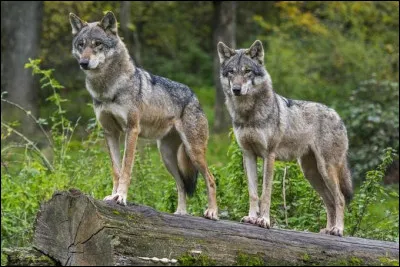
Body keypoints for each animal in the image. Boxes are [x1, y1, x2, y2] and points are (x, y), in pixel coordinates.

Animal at [69, 11, 219, 221]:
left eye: (97, 43)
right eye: (81, 44)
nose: (84, 63)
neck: (108, 88)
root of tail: (194, 95)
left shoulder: (131, 130)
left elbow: (126, 168)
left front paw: (121, 197)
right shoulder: (110, 132)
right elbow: (116, 170)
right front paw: (112, 195)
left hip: (193, 152)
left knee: (210, 179)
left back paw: (212, 212)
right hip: (166, 157)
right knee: (181, 184)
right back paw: (180, 213)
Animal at [217, 39, 352, 237]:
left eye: (247, 71)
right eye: (231, 72)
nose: (236, 89)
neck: (248, 114)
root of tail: (337, 115)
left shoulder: (269, 155)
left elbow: (265, 193)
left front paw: (264, 220)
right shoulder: (248, 154)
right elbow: (253, 193)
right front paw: (251, 218)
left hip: (326, 169)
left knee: (340, 198)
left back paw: (338, 229)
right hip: (311, 173)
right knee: (330, 201)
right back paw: (328, 229)